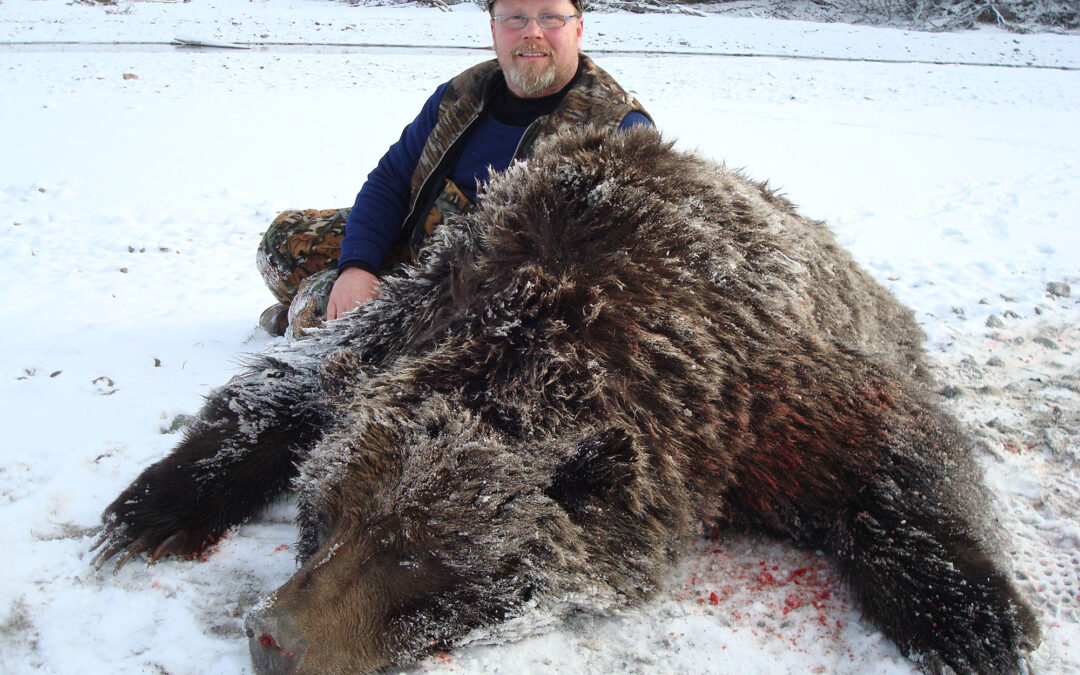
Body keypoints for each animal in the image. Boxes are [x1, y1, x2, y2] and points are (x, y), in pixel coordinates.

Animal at [90, 125, 1036, 669]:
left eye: (419, 556)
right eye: (323, 516)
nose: (272, 639)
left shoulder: (759, 389)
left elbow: (899, 439)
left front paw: (977, 614)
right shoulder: (428, 305)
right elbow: (291, 384)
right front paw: (153, 509)